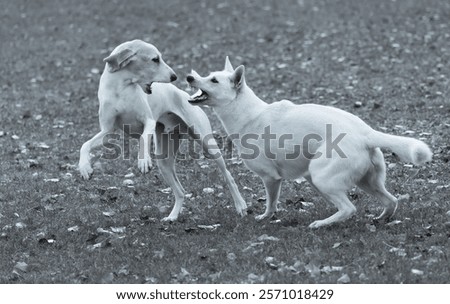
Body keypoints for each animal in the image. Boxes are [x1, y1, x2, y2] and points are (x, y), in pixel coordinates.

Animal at [77, 41, 246, 221]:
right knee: (181, 192)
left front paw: (143, 161)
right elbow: (85, 145)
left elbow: (143, 138)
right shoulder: (106, 132)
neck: (120, 88)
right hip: (163, 161)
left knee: (228, 176)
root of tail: (186, 95)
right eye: (155, 59)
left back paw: (240, 206)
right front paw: (85, 168)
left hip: (208, 145)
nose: (174, 77)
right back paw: (172, 217)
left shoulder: (149, 122)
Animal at [186, 57, 432, 228]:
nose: (189, 77)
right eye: (209, 75)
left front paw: (265, 217)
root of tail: (366, 133)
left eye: (213, 80)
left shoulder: (271, 178)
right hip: (364, 182)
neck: (248, 113)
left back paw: (321, 224)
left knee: (349, 208)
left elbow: (271, 203)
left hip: (320, 177)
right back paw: (379, 219)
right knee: (391, 201)